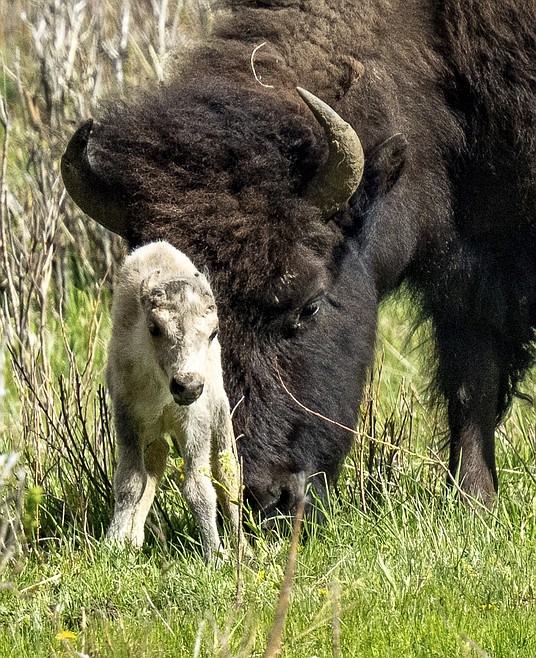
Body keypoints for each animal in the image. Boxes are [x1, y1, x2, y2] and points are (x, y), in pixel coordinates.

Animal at [62, 0, 536, 517]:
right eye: (155, 325)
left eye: (309, 306)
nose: (263, 497)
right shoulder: (467, 277)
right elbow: (471, 382)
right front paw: (475, 503)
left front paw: (473, 503)